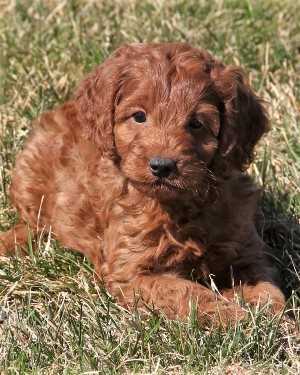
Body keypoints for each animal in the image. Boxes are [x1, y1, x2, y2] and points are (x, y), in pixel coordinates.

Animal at [0, 42, 284, 328]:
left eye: (196, 123)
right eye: (139, 116)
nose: (162, 166)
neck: (181, 207)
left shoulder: (244, 249)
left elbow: (268, 288)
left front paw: (273, 317)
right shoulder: (133, 272)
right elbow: (186, 293)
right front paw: (234, 317)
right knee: (35, 223)